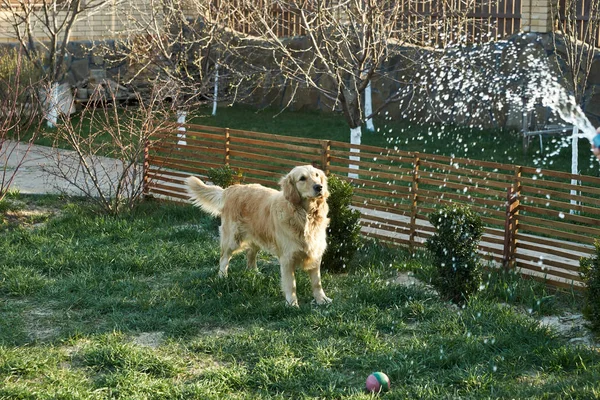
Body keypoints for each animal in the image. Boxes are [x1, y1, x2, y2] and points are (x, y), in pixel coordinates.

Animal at [185, 165, 330, 306]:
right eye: (302, 178)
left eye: (317, 175)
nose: (319, 187)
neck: (305, 216)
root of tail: (230, 189)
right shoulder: (287, 258)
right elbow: (291, 284)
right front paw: (292, 304)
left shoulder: (316, 252)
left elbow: (317, 282)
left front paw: (321, 299)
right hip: (233, 239)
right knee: (223, 258)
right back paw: (222, 277)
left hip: (257, 236)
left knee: (250, 254)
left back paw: (254, 273)